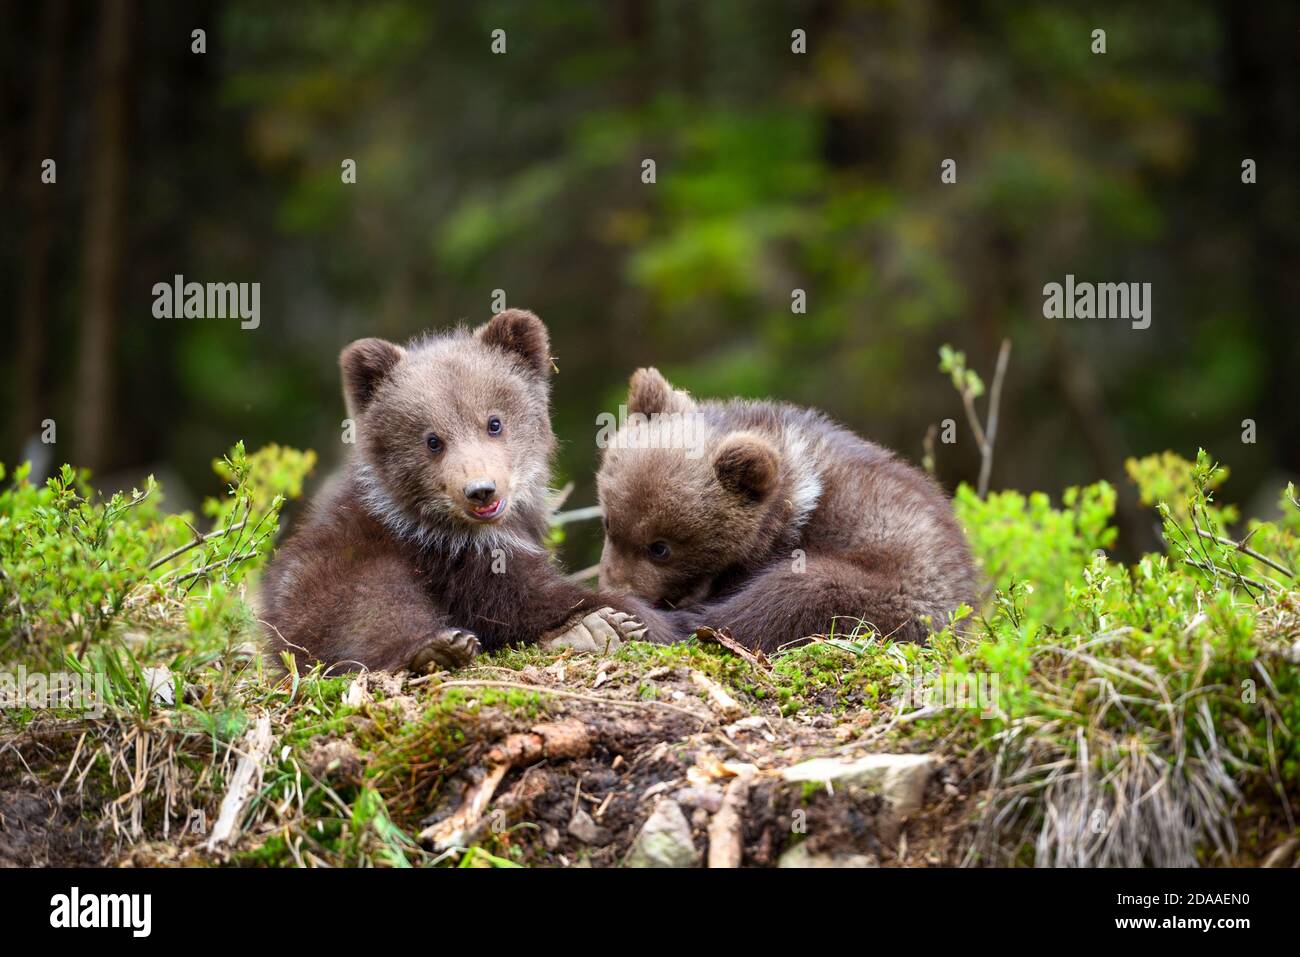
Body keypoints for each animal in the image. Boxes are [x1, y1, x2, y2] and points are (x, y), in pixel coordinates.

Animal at [260, 310, 678, 675]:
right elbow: (521, 598)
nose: (480, 490)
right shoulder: (449, 554)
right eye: (432, 440)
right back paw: (437, 648)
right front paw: (631, 618)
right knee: (372, 607)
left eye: (494, 422)